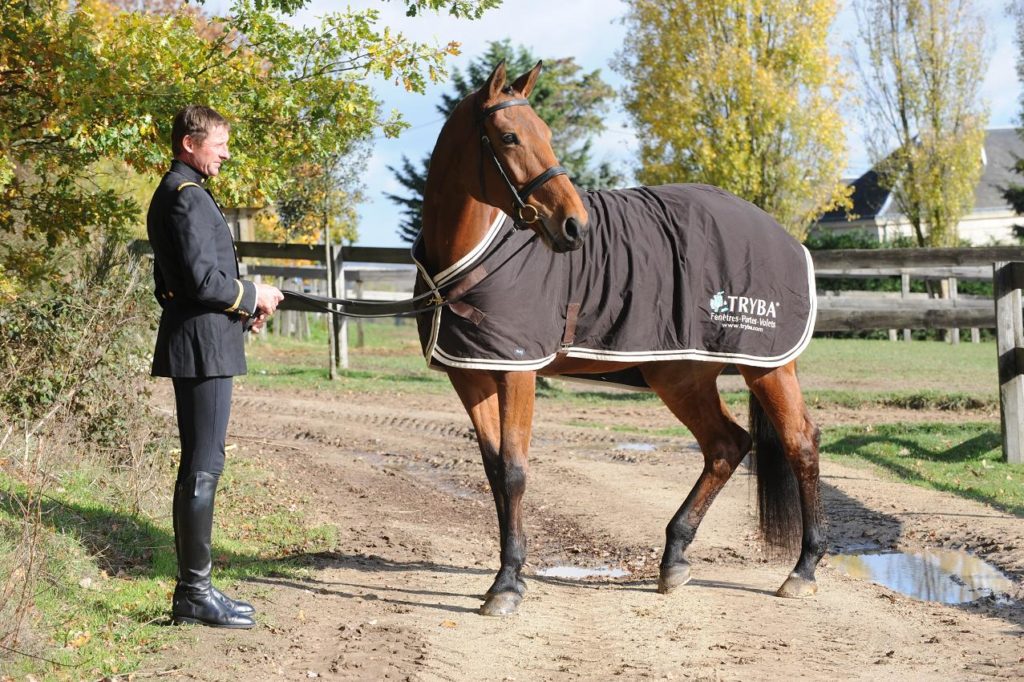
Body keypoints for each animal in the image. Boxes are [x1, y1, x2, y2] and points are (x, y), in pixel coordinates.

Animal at [415, 62, 823, 614]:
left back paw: (803, 569)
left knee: (800, 443)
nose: (574, 226)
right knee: (726, 444)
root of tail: (782, 235)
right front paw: (507, 576)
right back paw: (674, 559)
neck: (475, 256)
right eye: (509, 137)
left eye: (547, 134)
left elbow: (516, 470)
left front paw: (507, 585)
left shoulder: (518, 372)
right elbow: (496, 471)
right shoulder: (471, 375)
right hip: (680, 374)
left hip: (766, 366)